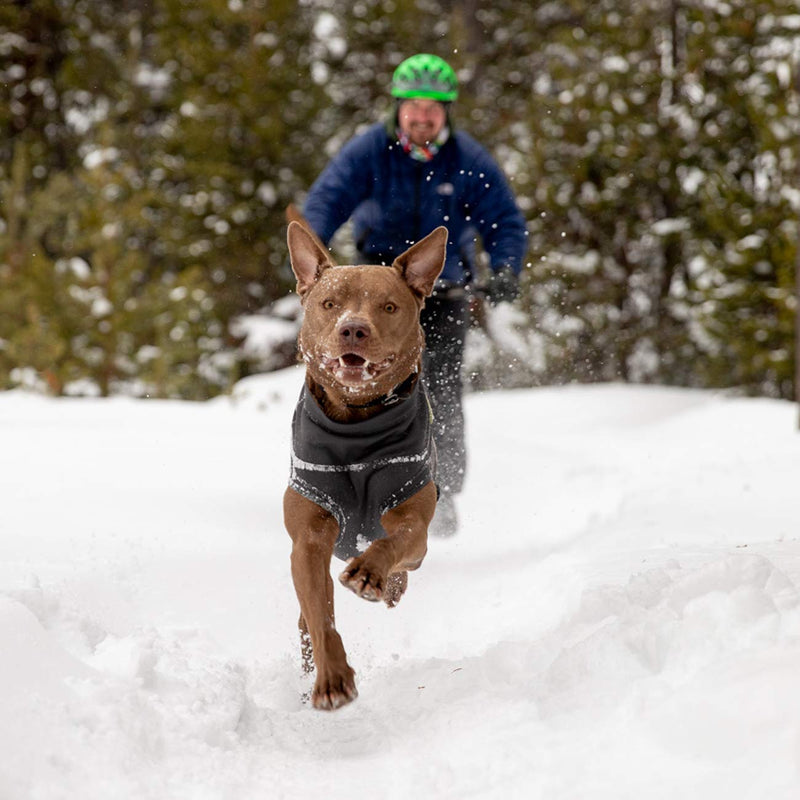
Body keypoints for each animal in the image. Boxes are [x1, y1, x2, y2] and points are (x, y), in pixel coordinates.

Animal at [282, 216, 446, 708]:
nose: (353, 328)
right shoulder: (309, 536)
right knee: (305, 619)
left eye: (388, 306)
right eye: (329, 303)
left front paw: (370, 574)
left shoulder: (410, 507)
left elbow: (397, 537)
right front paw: (332, 679)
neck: (355, 424)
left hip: (418, 553)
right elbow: (320, 615)